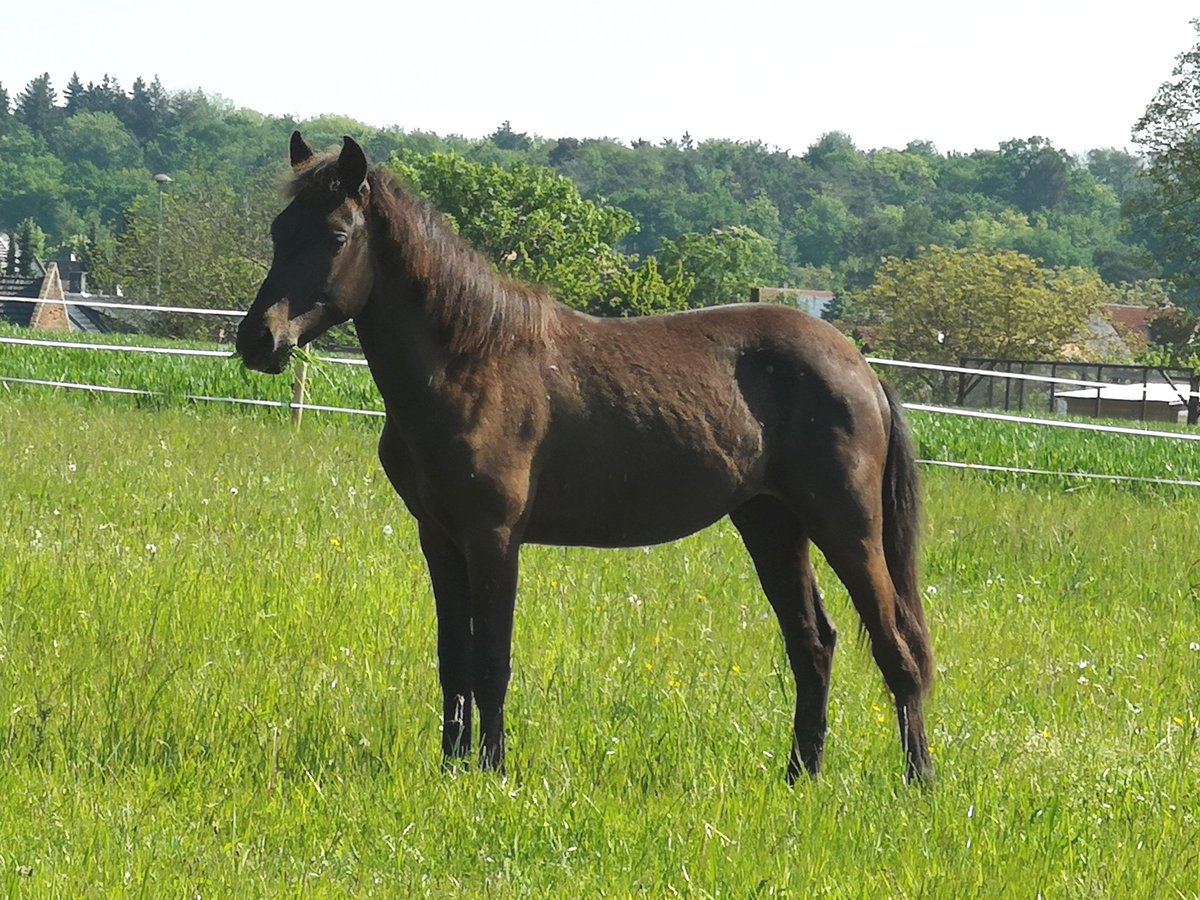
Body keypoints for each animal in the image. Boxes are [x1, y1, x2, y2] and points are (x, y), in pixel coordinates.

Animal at [229, 132, 931, 782]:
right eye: (279, 230)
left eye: (336, 235)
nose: (259, 339)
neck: (471, 362)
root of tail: (860, 369)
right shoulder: (440, 538)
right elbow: (453, 660)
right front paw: (452, 768)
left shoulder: (494, 538)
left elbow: (491, 661)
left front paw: (491, 772)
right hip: (771, 525)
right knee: (813, 646)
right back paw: (799, 775)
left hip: (847, 529)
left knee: (897, 648)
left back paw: (917, 783)